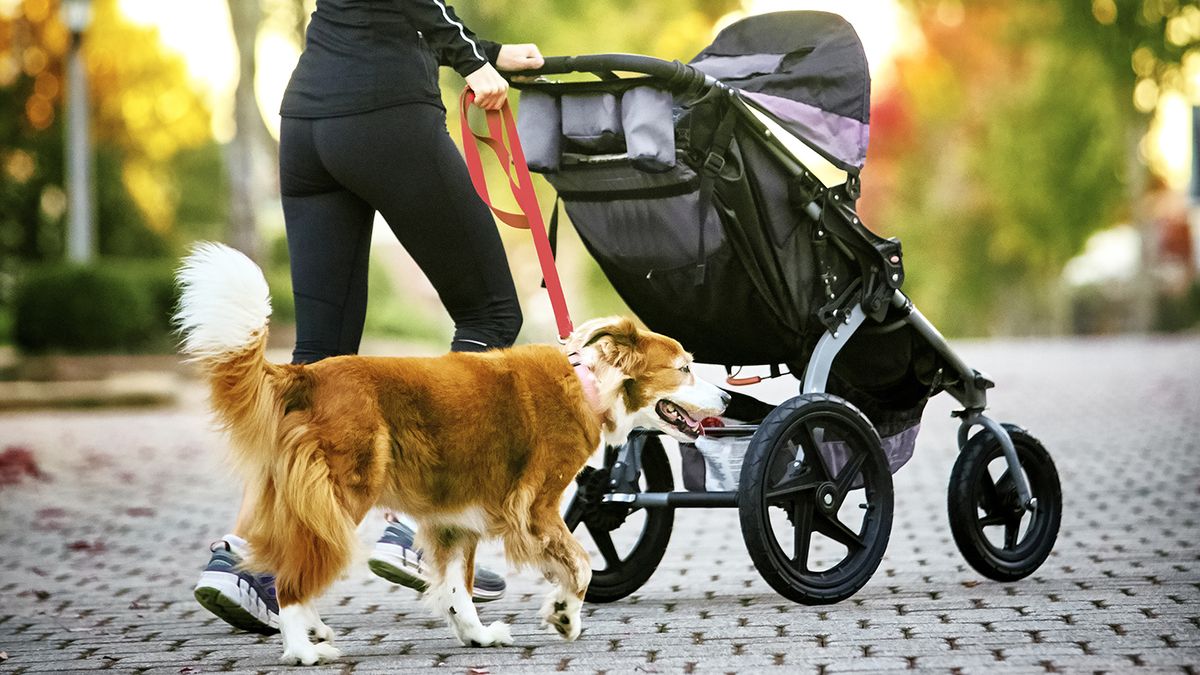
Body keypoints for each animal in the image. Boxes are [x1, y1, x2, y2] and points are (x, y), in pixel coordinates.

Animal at [174, 242, 724, 662]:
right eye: (684, 368)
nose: (727, 398)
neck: (588, 384)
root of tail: (307, 375)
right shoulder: (537, 506)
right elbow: (582, 564)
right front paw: (565, 614)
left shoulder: (455, 520)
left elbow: (458, 588)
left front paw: (478, 635)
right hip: (344, 491)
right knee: (291, 576)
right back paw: (302, 648)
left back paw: (307, 627)